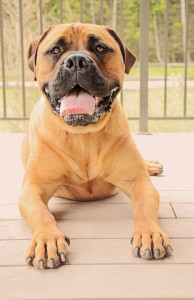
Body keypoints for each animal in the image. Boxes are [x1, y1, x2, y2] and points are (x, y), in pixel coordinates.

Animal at [18, 23, 173, 270]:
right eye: (55, 50)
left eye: (100, 48)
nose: (76, 61)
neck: (83, 137)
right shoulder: (33, 189)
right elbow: (42, 213)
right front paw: (47, 239)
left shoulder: (139, 183)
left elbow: (146, 207)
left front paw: (150, 233)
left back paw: (150, 165)